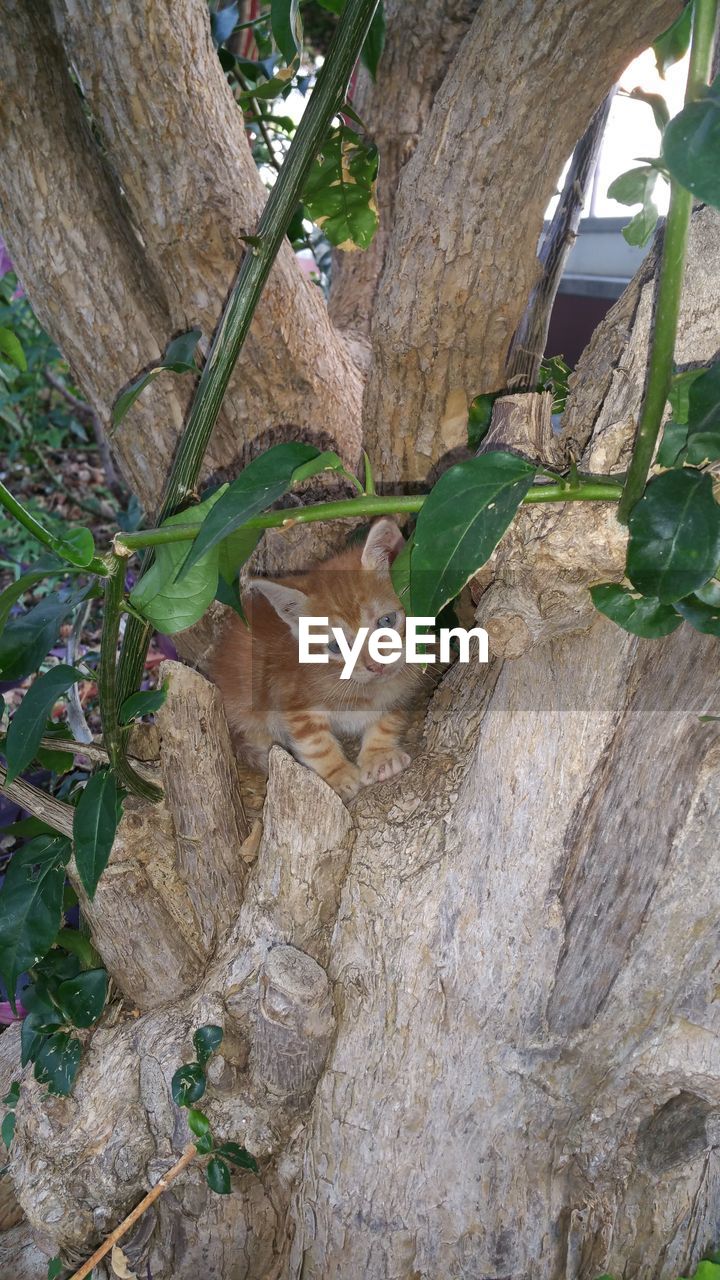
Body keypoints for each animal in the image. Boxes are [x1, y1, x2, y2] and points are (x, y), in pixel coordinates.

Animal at [207, 519, 415, 798]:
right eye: (336, 646)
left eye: (387, 621)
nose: (375, 666)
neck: (362, 690)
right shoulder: (290, 695)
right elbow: (314, 742)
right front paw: (337, 776)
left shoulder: (403, 687)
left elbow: (388, 719)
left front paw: (380, 757)